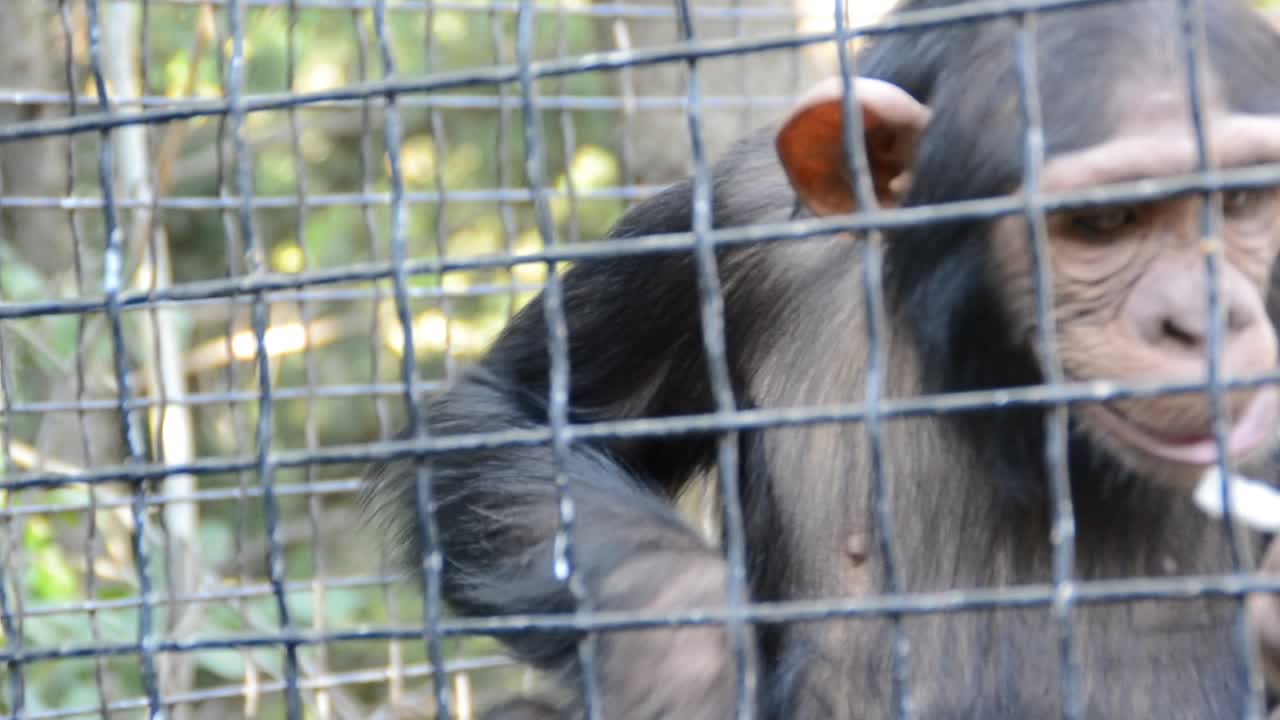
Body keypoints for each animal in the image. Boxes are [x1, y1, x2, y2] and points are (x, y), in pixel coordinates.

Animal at [362, 0, 1280, 717]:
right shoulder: (730, 224)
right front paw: (681, 654)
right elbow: (506, 410)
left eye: (1238, 201)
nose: (1202, 317)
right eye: (1104, 223)